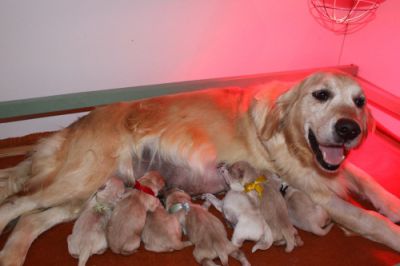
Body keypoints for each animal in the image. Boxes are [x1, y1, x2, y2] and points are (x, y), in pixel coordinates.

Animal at [0, 69, 400, 264]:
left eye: (361, 102)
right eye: (321, 95)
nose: (349, 129)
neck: (289, 137)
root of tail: (72, 125)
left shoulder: (332, 170)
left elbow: (368, 181)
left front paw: (392, 204)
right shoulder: (319, 191)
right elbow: (369, 220)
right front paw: (391, 230)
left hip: (92, 192)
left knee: (29, 220)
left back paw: (12, 255)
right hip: (81, 179)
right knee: (15, 204)